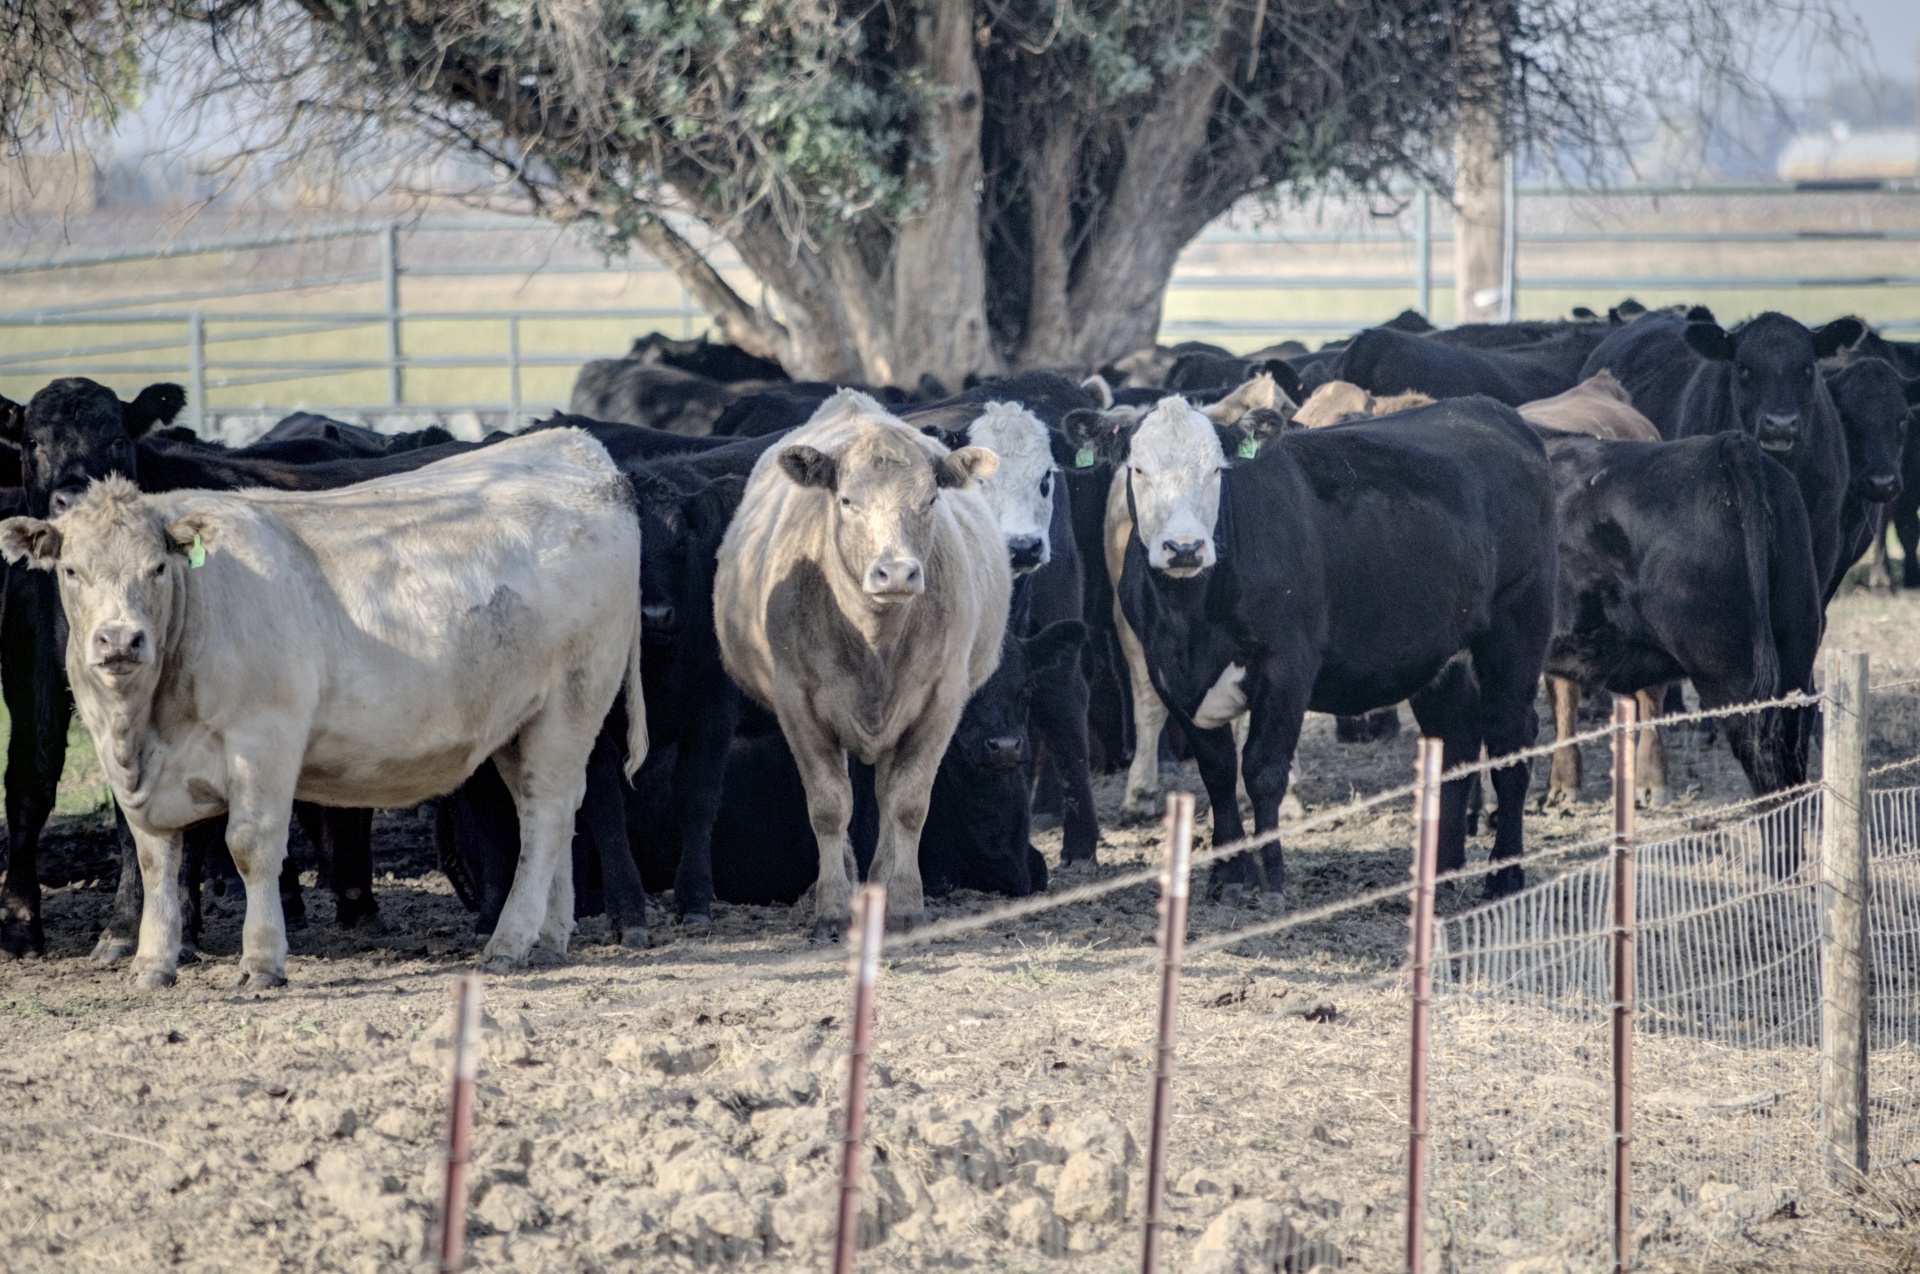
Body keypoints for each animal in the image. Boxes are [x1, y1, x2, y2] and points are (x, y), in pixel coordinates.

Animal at [0, 430, 645, 986]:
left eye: (157, 568)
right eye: (71, 570)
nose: (119, 640)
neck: (147, 722)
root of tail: (578, 448)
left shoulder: (264, 738)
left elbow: (251, 846)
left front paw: (262, 962)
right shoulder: (130, 767)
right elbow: (156, 857)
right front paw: (152, 965)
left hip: (573, 699)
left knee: (546, 812)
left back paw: (509, 943)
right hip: (520, 723)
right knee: (552, 808)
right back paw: (550, 938)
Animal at [713, 390, 1010, 935]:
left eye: (930, 500)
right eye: (848, 501)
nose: (896, 572)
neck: (875, 642)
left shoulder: (941, 701)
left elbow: (908, 803)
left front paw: (907, 903)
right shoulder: (797, 703)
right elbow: (829, 806)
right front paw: (832, 906)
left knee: (889, 793)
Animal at [1071, 395, 1555, 901]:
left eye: (1217, 470)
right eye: (1138, 469)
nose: (1184, 548)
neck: (1191, 621)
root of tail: (1493, 411)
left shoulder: (1287, 667)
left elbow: (1263, 770)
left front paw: (1271, 877)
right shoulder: (1169, 673)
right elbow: (1218, 772)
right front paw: (1228, 876)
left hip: (1518, 628)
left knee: (1509, 740)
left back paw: (1504, 875)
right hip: (1442, 653)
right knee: (1457, 739)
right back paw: (1439, 873)